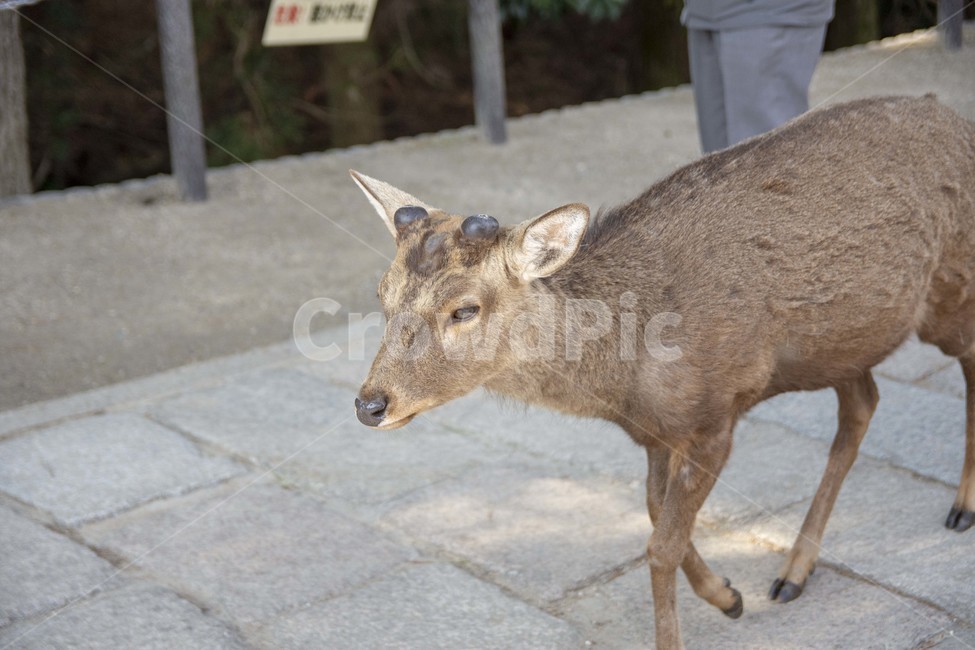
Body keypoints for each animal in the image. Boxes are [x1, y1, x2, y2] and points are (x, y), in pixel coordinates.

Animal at [349, 95, 975, 649]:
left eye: (465, 309)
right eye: (382, 294)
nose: (370, 403)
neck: (623, 382)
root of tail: (952, 113)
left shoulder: (716, 414)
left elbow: (661, 545)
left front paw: (704, 614)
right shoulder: (656, 433)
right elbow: (656, 515)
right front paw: (728, 595)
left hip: (951, 285)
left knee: (962, 362)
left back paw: (959, 508)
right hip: (845, 341)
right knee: (863, 403)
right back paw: (794, 571)